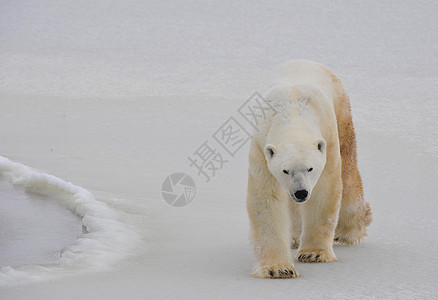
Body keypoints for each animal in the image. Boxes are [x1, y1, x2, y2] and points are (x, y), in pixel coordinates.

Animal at [248, 59, 372, 278]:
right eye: (285, 170)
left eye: (310, 168)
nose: (301, 192)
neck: (292, 112)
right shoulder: (261, 147)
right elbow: (266, 198)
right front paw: (278, 268)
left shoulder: (327, 138)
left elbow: (324, 192)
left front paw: (313, 253)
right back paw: (294, 236)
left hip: (342, 113)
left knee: (348, 172)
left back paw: (348, 231)